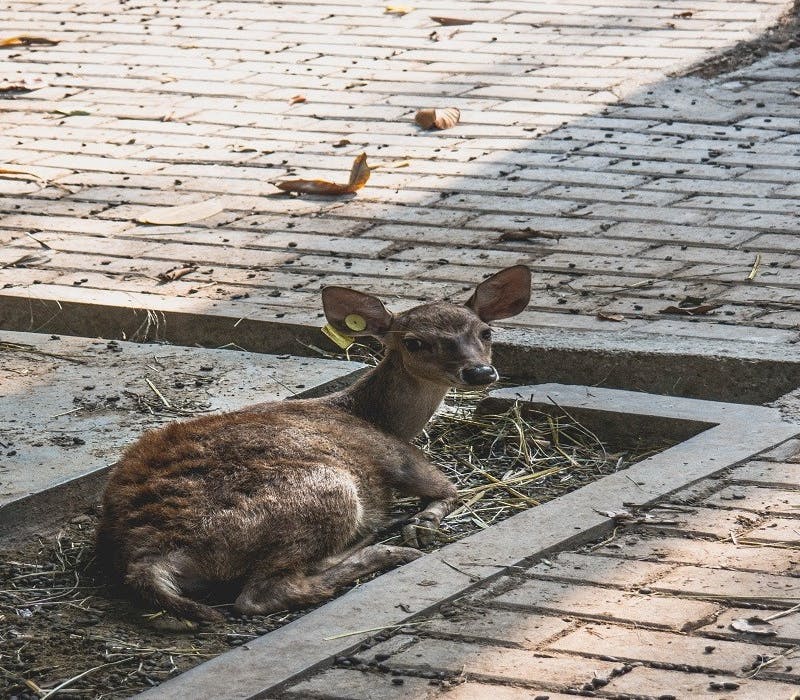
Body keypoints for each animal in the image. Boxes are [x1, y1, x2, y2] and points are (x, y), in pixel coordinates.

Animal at [95, 266, 532, 620]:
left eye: (485, 332)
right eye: (414, 342)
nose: (480, 372)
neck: (375, 417)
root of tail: (150, 555)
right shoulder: (399, 458)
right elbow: (449, 489)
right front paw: (420, 526)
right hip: (327, 491)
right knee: (261, 594)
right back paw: (384, 547)